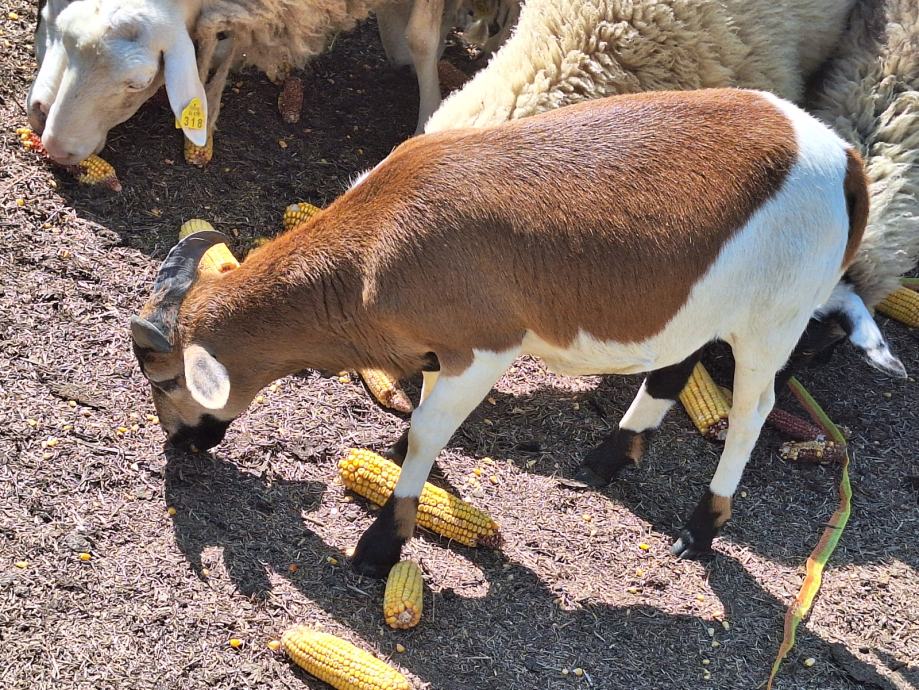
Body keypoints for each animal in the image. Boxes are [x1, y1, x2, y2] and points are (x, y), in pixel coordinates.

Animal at [129, 88, 904, 576]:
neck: (375, 242)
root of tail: (844, 162)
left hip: (772, 319)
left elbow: (427, 435)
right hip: (703, 302)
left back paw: (702, 526)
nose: (181, 443)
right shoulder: (440, 349)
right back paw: (606, 459)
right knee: (673, 366)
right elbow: (420, 420)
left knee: (751, 412)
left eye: (166, 381)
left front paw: (381, 545)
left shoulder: (483, 347)